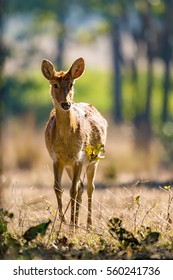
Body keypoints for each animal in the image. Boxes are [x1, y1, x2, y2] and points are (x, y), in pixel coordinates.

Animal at [41, 57, 107, 230]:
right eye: (54, 84)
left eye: (71, 84)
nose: (66, 104)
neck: (66, 143)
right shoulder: (57, 158)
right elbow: (57, 187)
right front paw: (64, 220)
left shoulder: (78, 157)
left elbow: (71, 190)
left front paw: (70, 223)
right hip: (71, 166)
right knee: (81, 186)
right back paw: (76, 223)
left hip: (94, 159)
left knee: (89, 187)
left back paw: (88, 224)